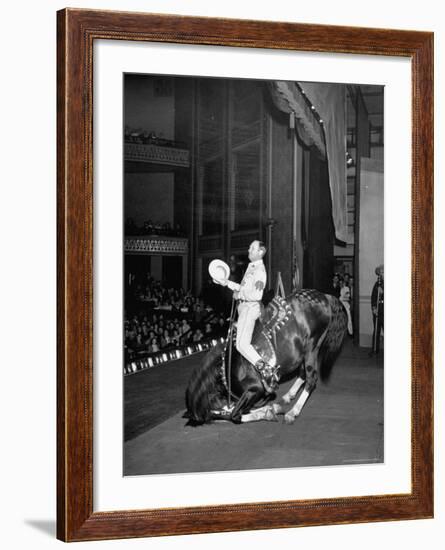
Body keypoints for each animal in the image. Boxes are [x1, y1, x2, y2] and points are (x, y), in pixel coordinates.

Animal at [186, 292, 348, 430]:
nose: (208, 419)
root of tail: (324, 296)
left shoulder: (254, 390)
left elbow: (235, 415)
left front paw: (269, 411)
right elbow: (236, 412)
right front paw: (272, 409)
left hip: (312, 346)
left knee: (311, 378)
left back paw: (292, 412)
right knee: (303, 373)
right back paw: (287, 396)